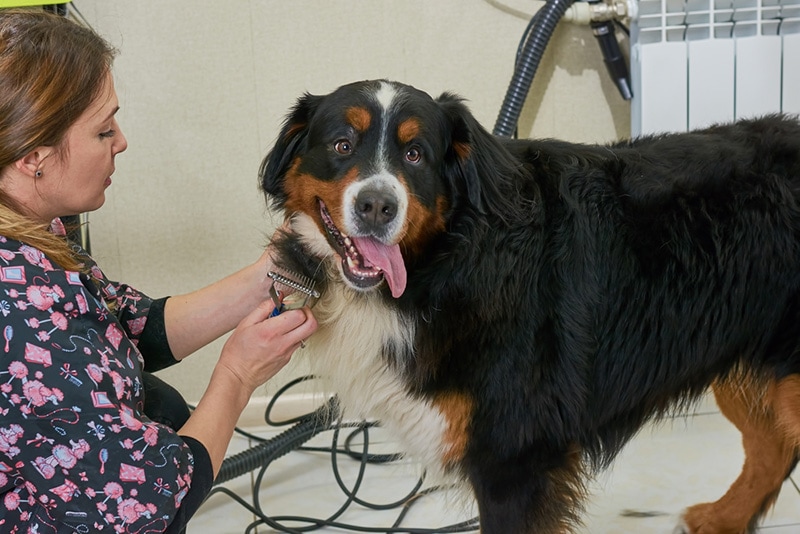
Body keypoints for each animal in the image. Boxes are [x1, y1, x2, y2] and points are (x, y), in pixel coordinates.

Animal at [260, 79, 800, 534]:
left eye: (415, 155)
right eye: (342, 145)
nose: (376, 206)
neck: (449, 260)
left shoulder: (515, 457)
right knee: (772, 449)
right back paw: (723, 518)